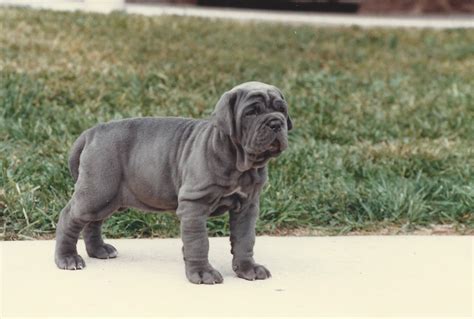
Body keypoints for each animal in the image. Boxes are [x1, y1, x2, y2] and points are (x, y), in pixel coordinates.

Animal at [55, 81, 292, 284]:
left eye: (281, 109)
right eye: (251, 112)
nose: (276, 122)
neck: (239, 162)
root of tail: (91, 132)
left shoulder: (247, 207)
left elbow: (245, 239)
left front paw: (247, 268)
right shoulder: (194, 205)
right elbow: (199, 242)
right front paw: (202, 273)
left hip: (107, 198)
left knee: (93, 222)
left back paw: (99, 250)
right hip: (98, 191)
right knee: (69, 217)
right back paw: (67, 258)